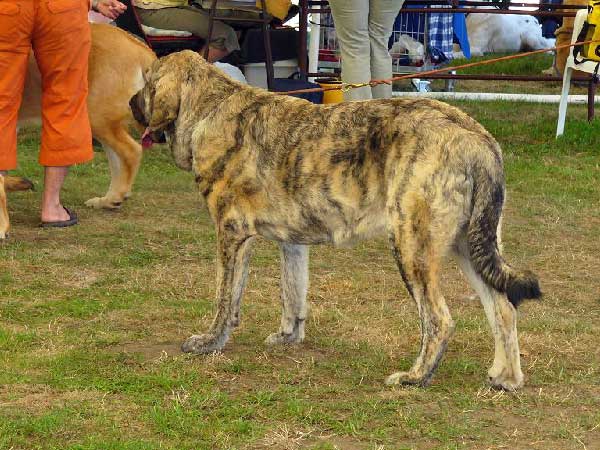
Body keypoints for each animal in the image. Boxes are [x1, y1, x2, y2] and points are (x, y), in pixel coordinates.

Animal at [129, 51, 540, 392]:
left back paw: (416, 377)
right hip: (470, 247)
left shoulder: (232, 234)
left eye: (147, 83)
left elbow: (225, 299)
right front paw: (288, 336)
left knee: (440, 319)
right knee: (502, 307)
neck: (210, 108)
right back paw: (506, 377)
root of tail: (474, 135)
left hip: (412, 247)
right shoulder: (292, 244)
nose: (131, 104)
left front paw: (210, 342)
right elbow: (292, 293)